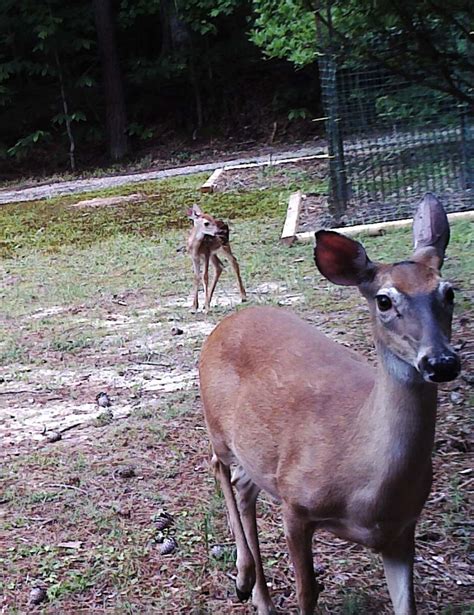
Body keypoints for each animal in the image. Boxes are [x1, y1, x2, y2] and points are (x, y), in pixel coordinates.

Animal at [199, 194, 460, 615]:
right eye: (384, 300)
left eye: (448, 293)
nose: (441, 362)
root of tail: (225, 324)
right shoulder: (295, 505)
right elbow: (306, 593)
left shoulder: (402, 530)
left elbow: (407, 604)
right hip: (217, 424)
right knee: (219, 467)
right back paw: (242, 576)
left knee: (244, 484)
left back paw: (260, 597)